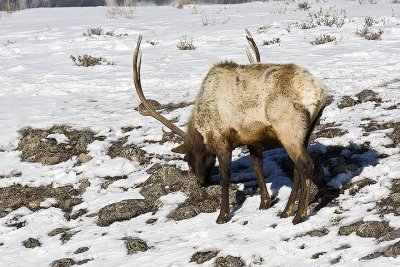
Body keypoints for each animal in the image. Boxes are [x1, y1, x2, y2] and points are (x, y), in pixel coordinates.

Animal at [133, 30, 326, 225]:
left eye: (189, 157)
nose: (201, 182)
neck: (202, 128)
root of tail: (319, 93)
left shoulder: (221, 140)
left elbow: (225, 176)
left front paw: (222, 215)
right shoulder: (252, 137)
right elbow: (257, 167)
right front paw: (264, 202)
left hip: (289, 129)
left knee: (306, 164)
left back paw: (299, 214)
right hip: (306, 131)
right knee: (297, 168)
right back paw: (286, 210)